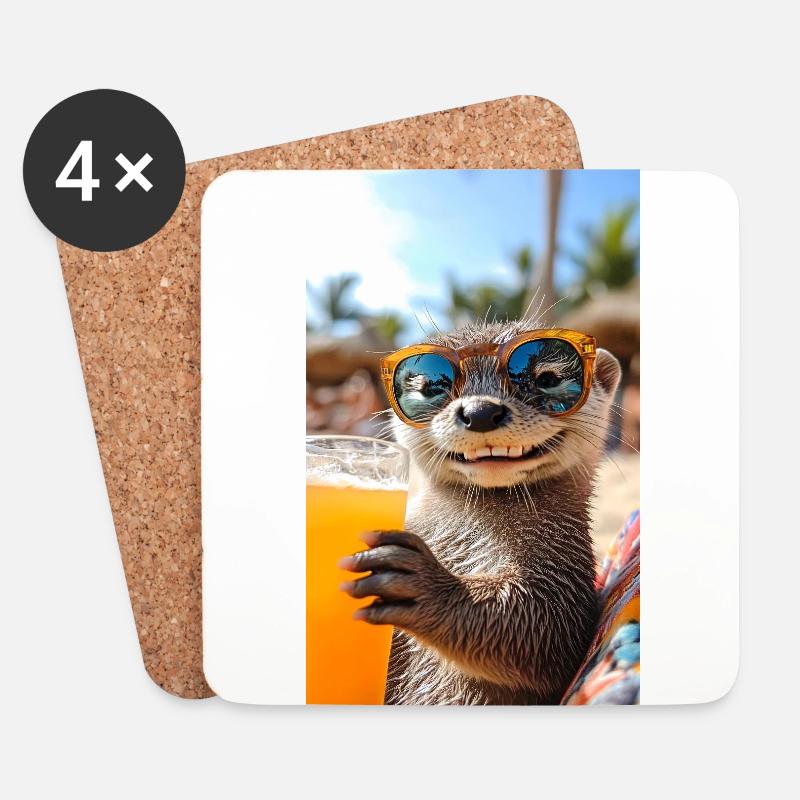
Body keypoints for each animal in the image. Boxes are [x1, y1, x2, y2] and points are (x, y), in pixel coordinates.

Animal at [339, 318, 622, 704]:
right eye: (430, 387)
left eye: (547, 378)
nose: (481, 411)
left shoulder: (566, 584)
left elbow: (543, 628)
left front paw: (427, 583)